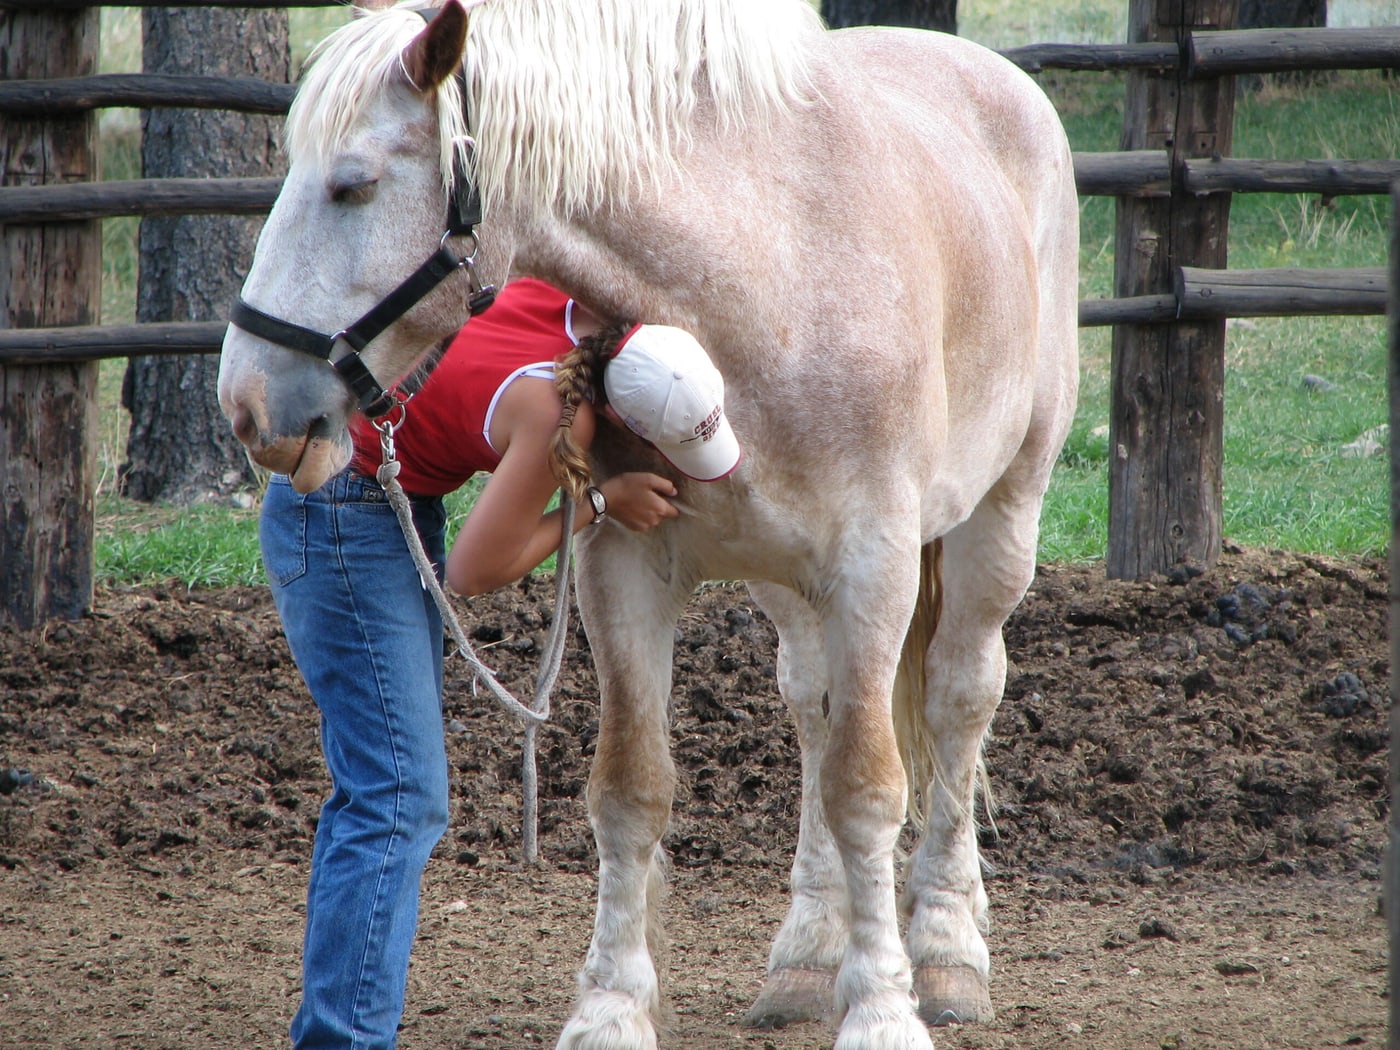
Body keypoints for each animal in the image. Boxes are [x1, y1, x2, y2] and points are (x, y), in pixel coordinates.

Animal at [216, 1, 1079, 1047]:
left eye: (351, 186)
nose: (248, 403)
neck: (769, 271)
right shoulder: (622, 569)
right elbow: (632, 789)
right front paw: (612, 1006)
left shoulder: (875, 569)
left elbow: (868, 788)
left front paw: (883, 1008)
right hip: (786, 584)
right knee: (815, 709)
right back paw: (807, 955)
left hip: (1004, 515)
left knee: (959, 698)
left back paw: (949, 947)